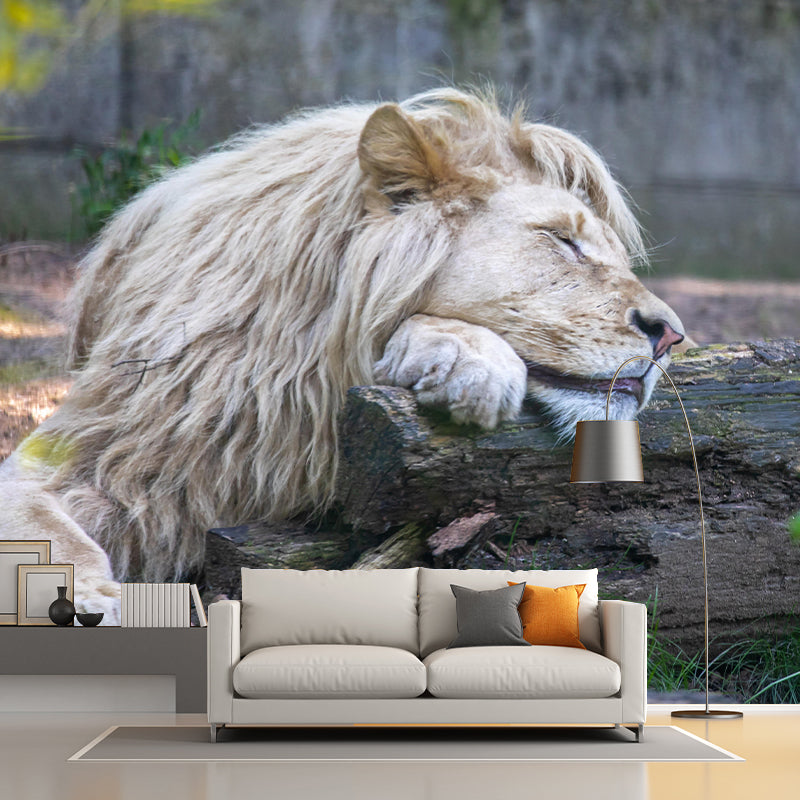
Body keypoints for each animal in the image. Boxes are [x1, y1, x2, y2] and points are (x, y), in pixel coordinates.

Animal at [0, 88, 684, 622]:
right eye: (561, 240)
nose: (671, 336)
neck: (290, 384)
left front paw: (462, 362)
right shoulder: (105, 447)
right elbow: (46, 530)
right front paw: (90, 601)